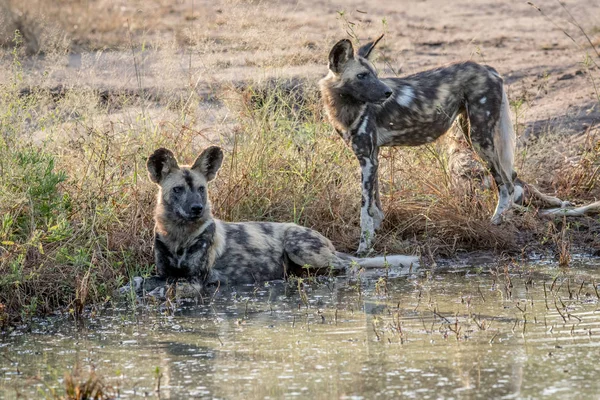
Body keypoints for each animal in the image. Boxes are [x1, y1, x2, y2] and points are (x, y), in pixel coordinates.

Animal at [125, 147, 420, 296]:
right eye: (177, 190)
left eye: (201, 189)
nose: (197, 209)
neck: (178, 234)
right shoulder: (165, 273)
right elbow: (139, 281)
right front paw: (135, 288)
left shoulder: (194, 281)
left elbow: (165, 288)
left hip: (302, 250)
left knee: (349, 268)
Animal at [318, 35, 568, 253]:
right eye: (362, 76)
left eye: (375, 74)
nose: (388, 93)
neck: (345, 106)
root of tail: (488, 68)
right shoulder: (373, 158)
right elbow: (375, 206)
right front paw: (376, 232)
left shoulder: (367, 159)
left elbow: (365, 210)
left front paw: (364, 247)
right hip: (471, 132)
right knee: (512, 178)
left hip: (480, 139)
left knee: (506, 184)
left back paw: (497, 220)